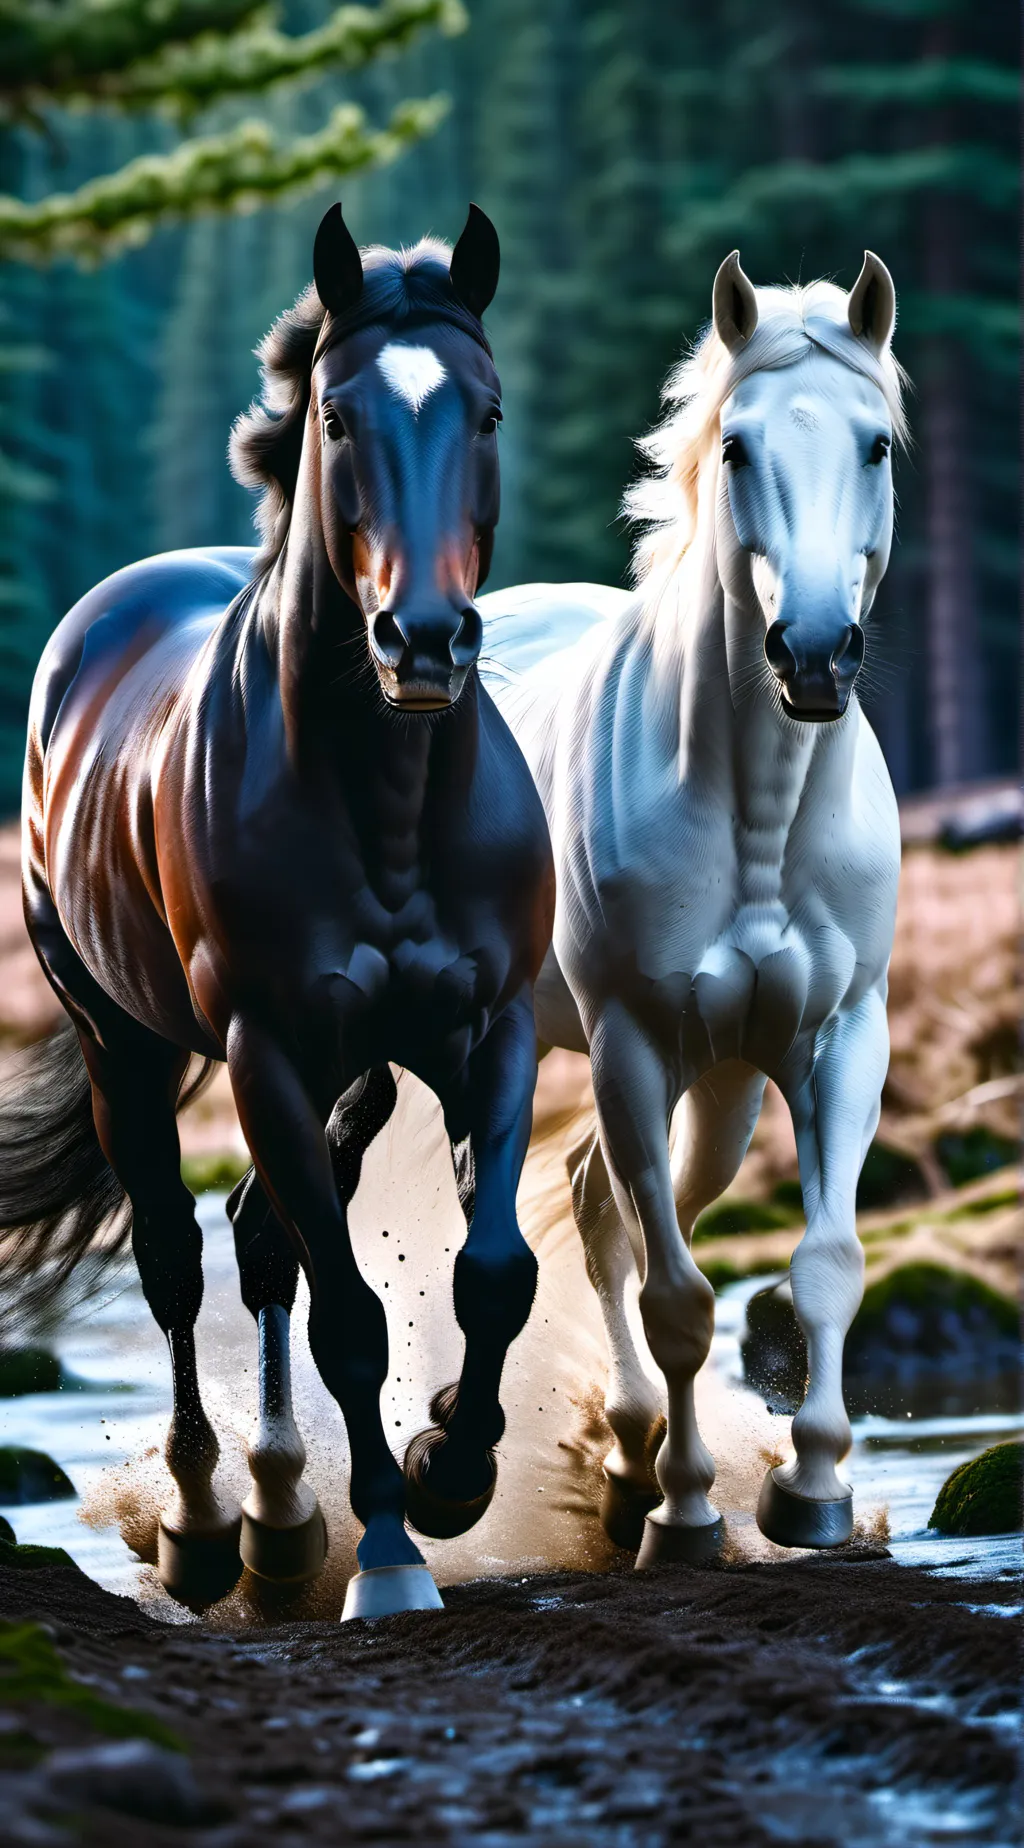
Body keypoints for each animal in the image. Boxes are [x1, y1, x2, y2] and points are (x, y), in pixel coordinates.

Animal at [2, 203, 555, 1619]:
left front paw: (449, 1464)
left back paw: (282, 1512)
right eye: (340, 417)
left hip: (355, 1074)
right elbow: (349, 1318)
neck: (386, 802)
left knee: (261, 1243)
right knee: (178, 1259)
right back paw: (209, 1526)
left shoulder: (489, 1037)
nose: (425, 640)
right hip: (130, 1049)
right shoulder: (264, 1048)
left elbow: (493, 1272)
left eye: (487, 410)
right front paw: (395, 1555)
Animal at [479, 251, 906, 1561]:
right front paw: (686, 1511)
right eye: (736, 446)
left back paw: (621, 1447)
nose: (813, 654)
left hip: (716, 1092)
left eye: (876, 443)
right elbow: (678, 1296)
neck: (754, 814)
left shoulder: (838, 1038)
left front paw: (808, 1491)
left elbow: (824, 1266)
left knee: (591, 1201)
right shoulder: (626, 1042)